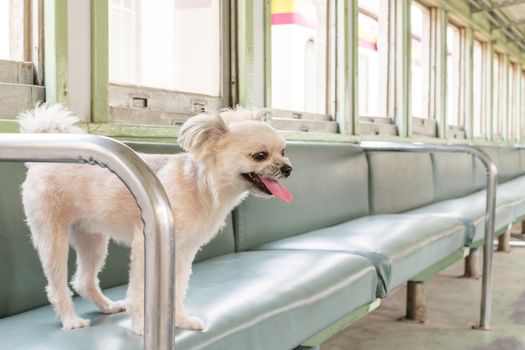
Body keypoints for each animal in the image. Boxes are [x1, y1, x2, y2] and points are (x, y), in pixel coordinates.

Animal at [18, 106, 292, 334]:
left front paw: (180, 320)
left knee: (84, 281)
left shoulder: (181, 252)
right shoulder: (146, 245)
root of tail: (41, 161)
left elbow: (177, 289)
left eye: (283, 151)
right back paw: (71, 320)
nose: (288, 168)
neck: (199, 186)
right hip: (53, 238)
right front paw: (141, 326)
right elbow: (140, 291)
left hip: (92, 239)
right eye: (260, 155)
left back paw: (107, 307)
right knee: (56, 286)